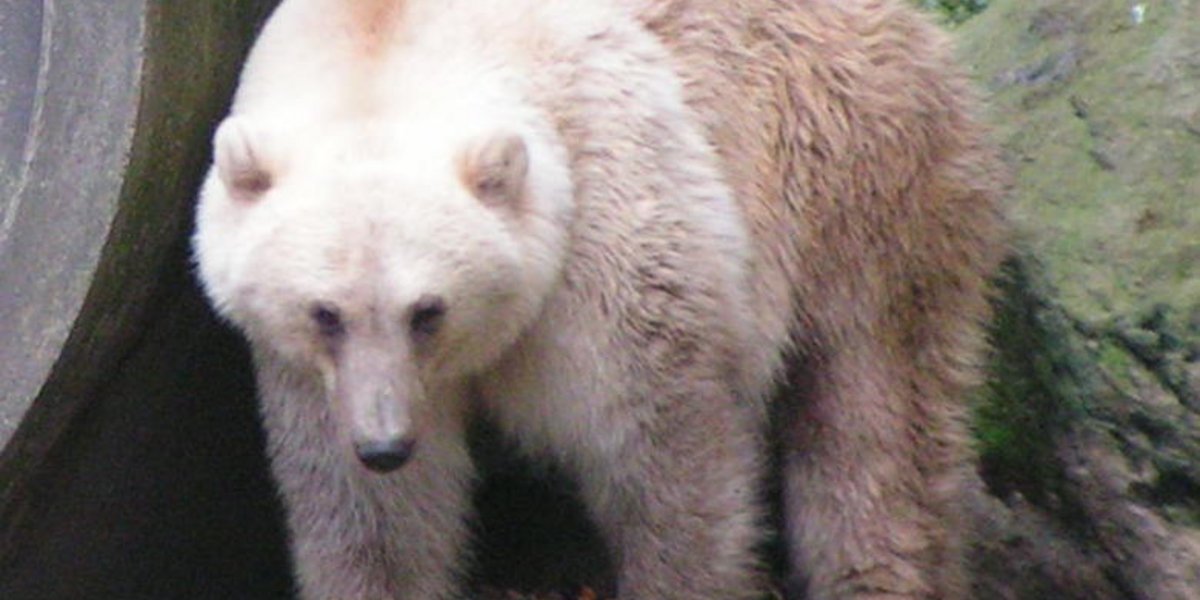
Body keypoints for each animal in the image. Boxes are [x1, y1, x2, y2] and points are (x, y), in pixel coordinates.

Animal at [192, 1, 1008, 600]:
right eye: (324, 313)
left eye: (429, 310)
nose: (385, 443)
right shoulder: (307, 375)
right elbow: (373, 523)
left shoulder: (604, 237)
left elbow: (664, 458)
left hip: (854, 172)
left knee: (873, 415)